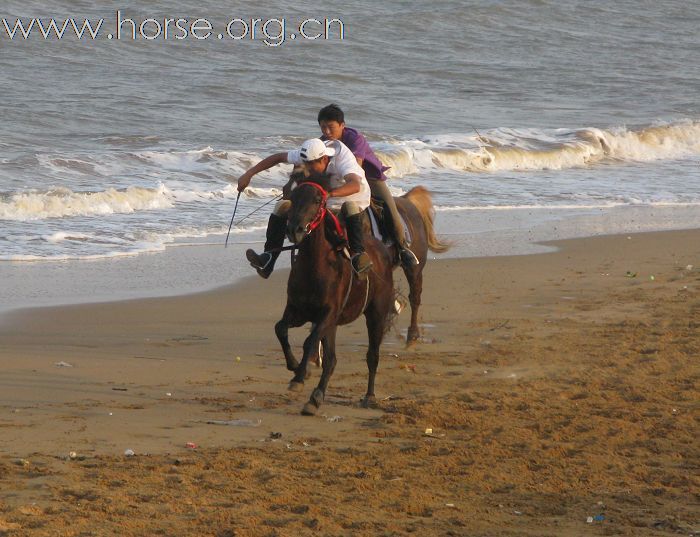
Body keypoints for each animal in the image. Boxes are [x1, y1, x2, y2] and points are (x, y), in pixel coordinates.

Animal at [274, 180, 394, 414]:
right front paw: (295, 366)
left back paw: (369, 396)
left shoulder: (328, 313)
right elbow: (280, 328)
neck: (315, 267)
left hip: (376, 313)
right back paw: (315, 398)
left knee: (372, 355)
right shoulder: (298, 310)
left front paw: (299, 377)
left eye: (317, 201)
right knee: (332, 360)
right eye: (293, 196)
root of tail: (382, 250)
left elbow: (310, 341)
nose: (295, 230)